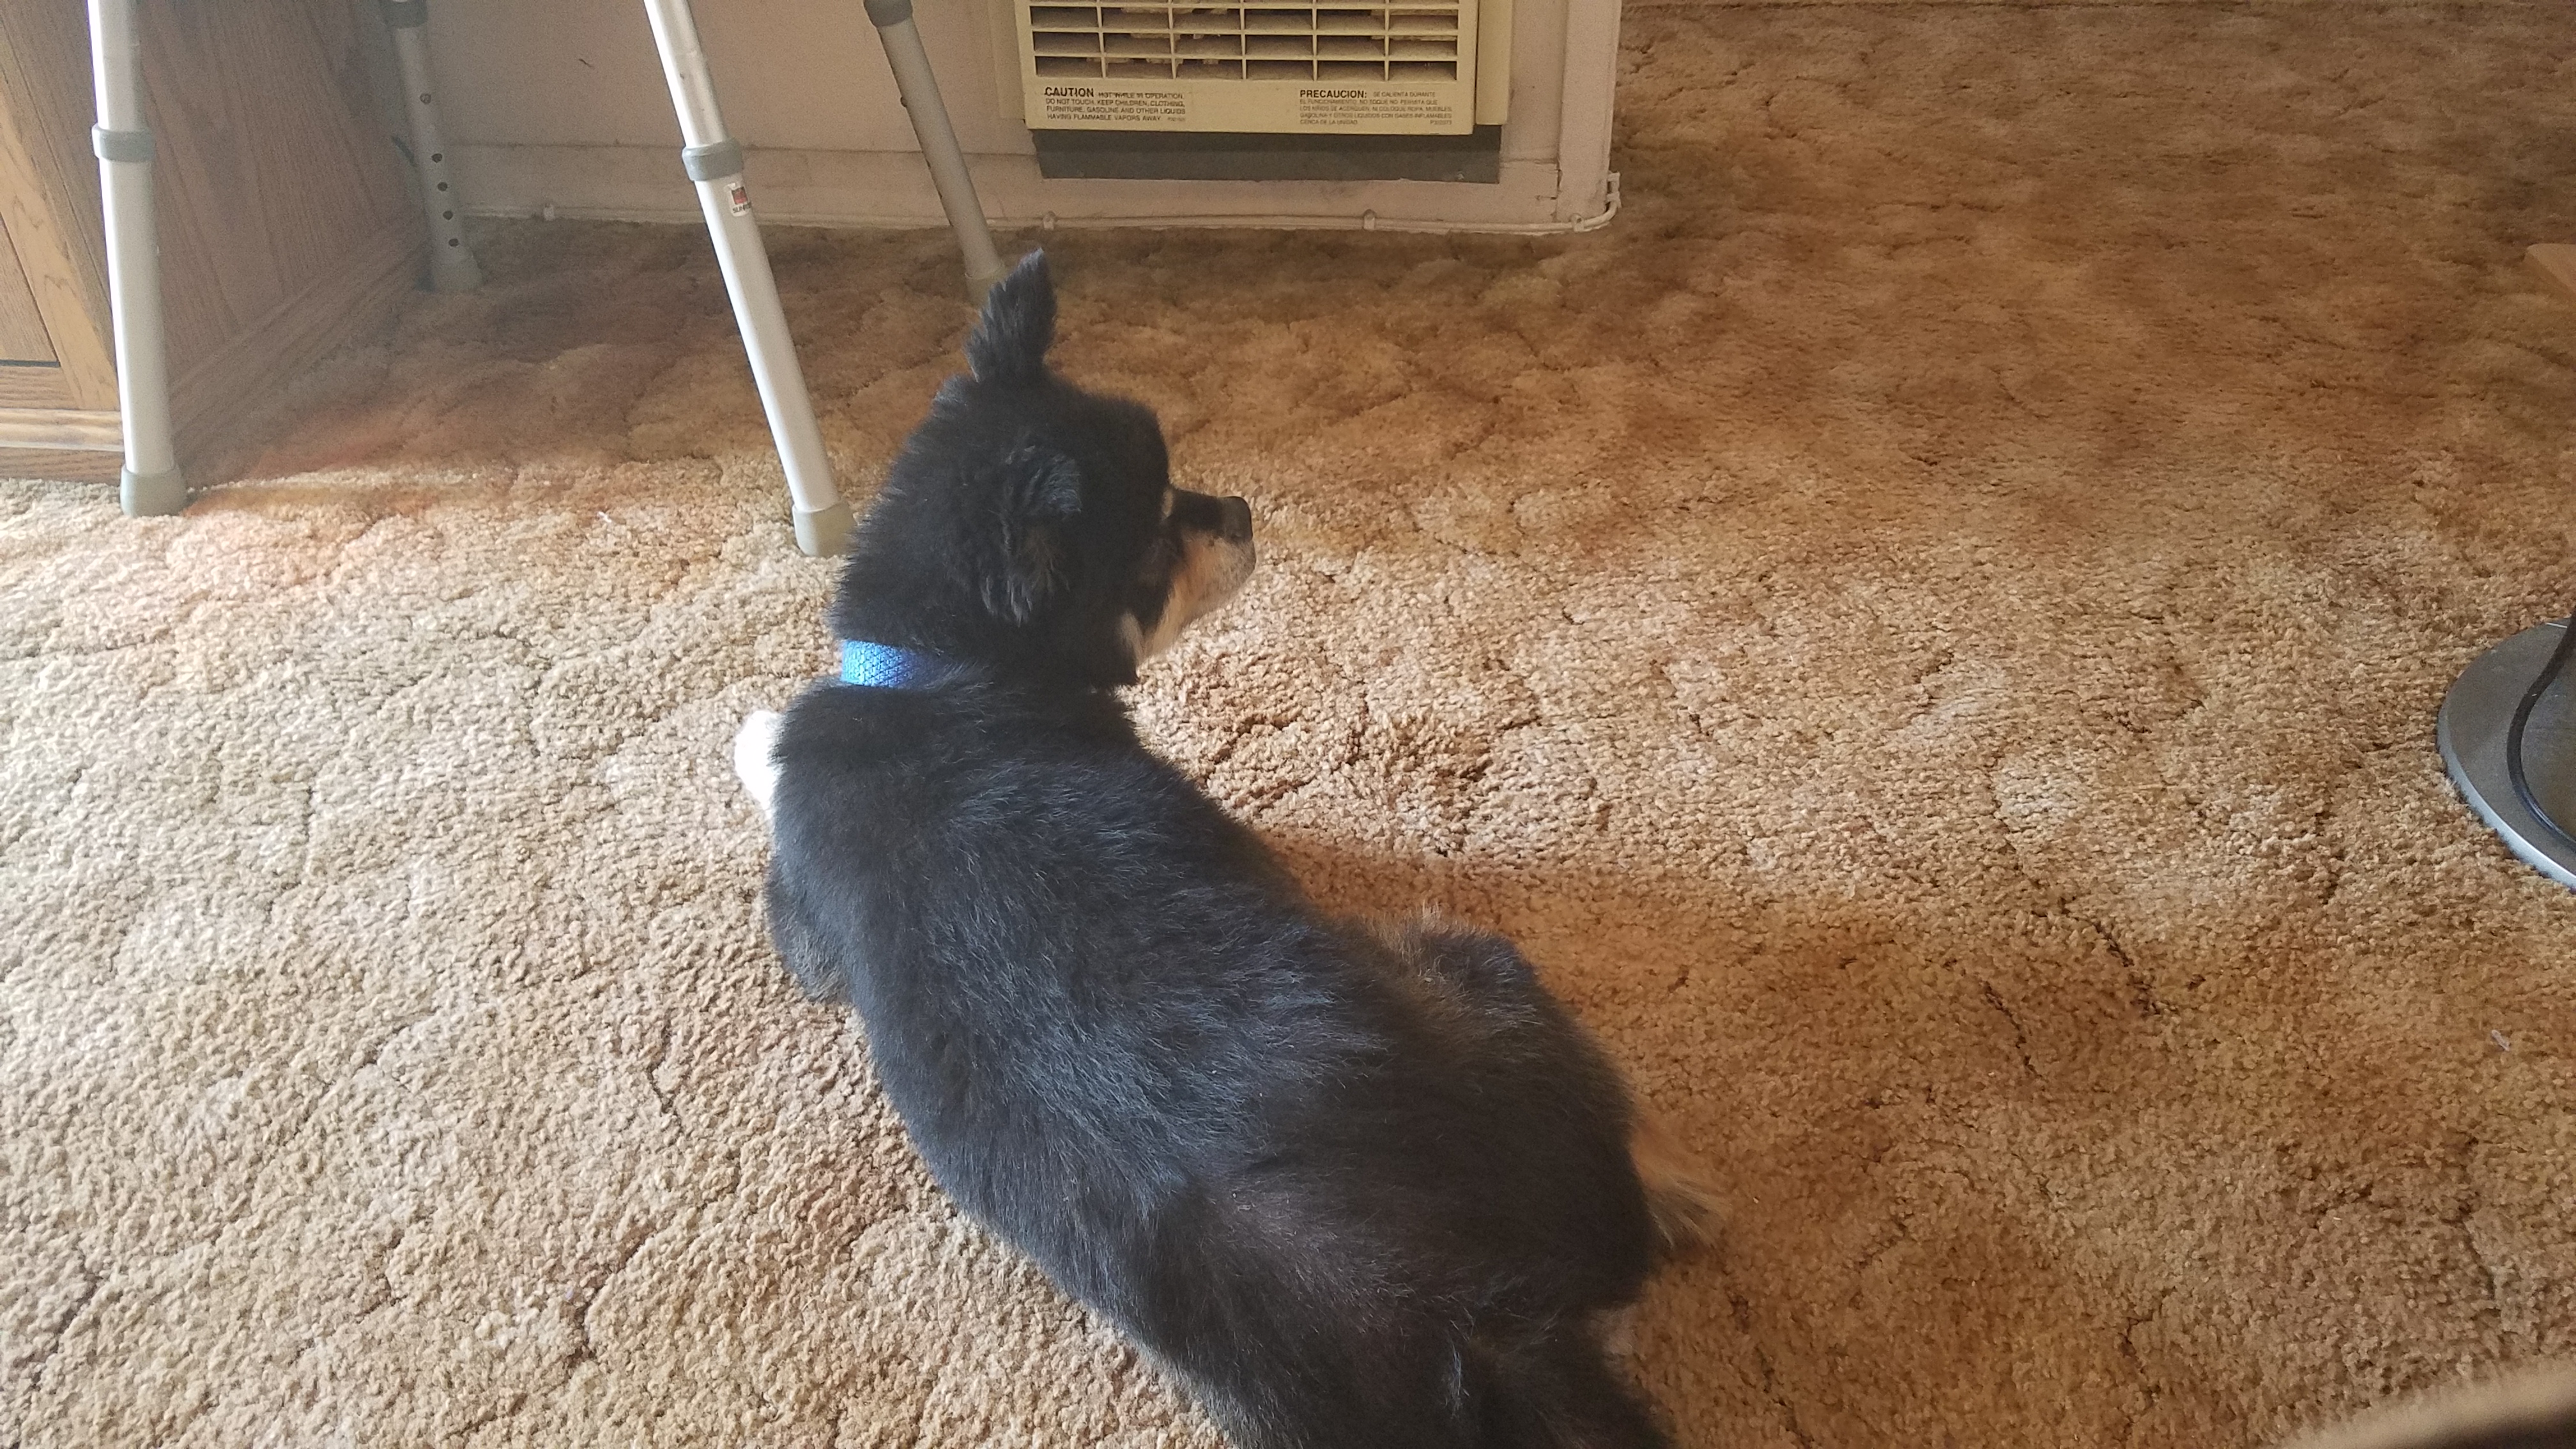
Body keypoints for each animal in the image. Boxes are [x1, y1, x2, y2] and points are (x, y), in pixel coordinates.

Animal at [734, 252, 1715, 1448]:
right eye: (1158, 542)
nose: (1242, 508)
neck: (943, 680)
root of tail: (1473, 1312)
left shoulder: (803, 926)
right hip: (1466, 962)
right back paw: (1679, 1182)